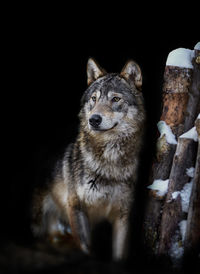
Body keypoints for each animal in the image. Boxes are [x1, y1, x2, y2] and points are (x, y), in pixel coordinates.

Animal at [32, 58, 146, 262]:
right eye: (94, 99)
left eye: (115, 99)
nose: (94, 119)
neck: (110, 162)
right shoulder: (77, 206)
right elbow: (86, 248)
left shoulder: (123, 215)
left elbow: (119, 253)